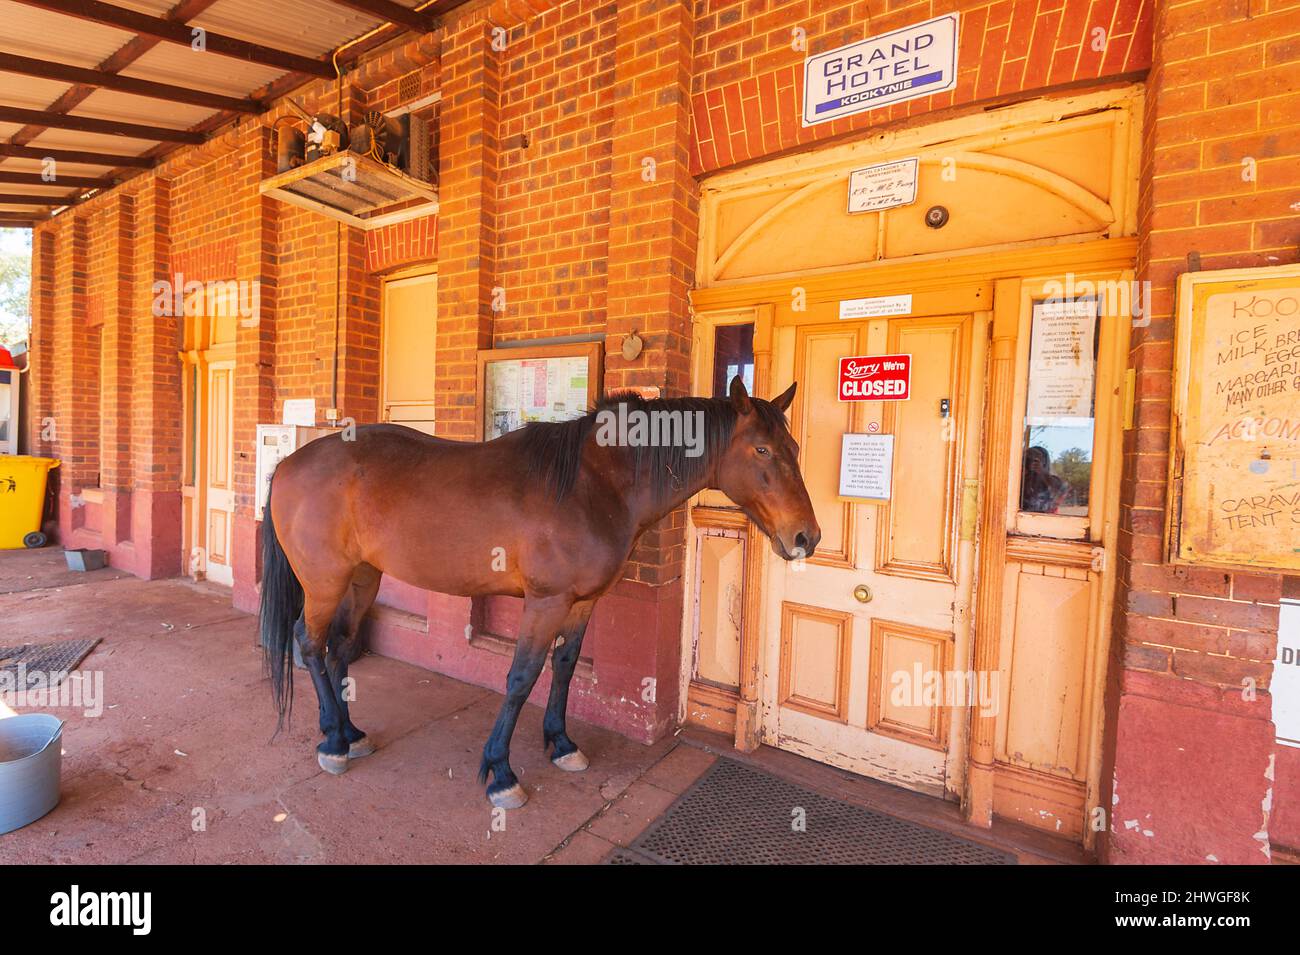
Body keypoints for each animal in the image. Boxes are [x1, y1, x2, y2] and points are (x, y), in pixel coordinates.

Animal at [258, 376, 816, 810]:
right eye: (762, 450)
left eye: (795, 450)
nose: (806, 537)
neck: (595, 484)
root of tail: (289, 463)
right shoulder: (545, 603)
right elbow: (521, 677)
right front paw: (501, 773)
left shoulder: (582, 603)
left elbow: (564, 667)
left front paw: (561, 743)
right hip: (324, 582)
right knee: (308, 643)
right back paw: (332, 742)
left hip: (363, 577)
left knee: (337, 648)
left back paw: (348, 733)